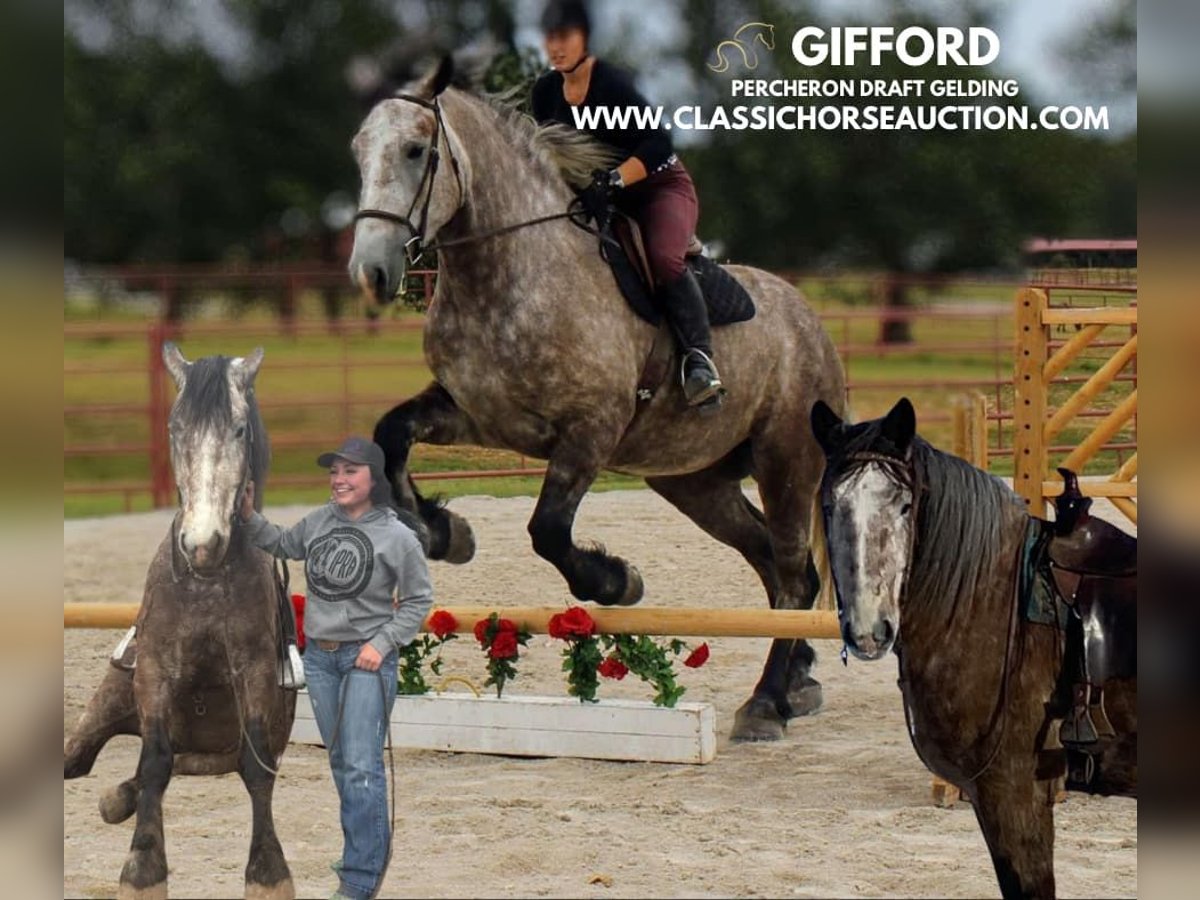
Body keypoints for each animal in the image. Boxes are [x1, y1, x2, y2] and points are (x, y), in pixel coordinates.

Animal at [65, 345, 295, 900]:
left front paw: (267, 872)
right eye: (175, 427)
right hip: (100, 716)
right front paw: (143, 871)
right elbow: (154, 762)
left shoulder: (254, 673)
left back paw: (116, 798)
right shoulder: (155, 673)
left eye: (238, 428)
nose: (202, 543)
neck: (206, 582)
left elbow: (256, 768)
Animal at [350, 60, 849, 744]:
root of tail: (813, 325)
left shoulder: (590, 432)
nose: (370, 272)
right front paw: (444, 532)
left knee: (797, 575)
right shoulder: (475, 413)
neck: (507, 273)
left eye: (415, 150)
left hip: (787, 463)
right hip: (696, 482)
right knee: (774, 567)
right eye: (358, 151)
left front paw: (617, 581)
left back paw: (766, 704)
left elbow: (547, 531)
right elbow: (391, 434)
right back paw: (796, 683)